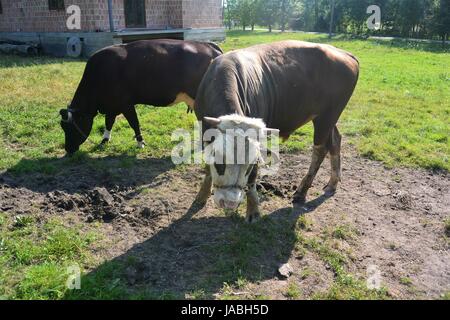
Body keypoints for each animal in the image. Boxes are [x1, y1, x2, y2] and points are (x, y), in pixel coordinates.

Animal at [58, 40, 223, 155]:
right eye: (62, 126)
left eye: (70, 127)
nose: (68, 149)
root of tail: (207, 44)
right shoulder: (112, 105)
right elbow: (109, 122)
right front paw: (104, 140)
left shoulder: (126, 104)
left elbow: (134, 123)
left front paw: (140, 143)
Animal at [193, 39, 358, 222]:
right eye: (219, 161)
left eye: (250, 165)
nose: (229, 203)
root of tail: (345, 54)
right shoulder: (204, 130)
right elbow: (207, 167)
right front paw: (202, 195)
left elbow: (252, 181)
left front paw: (253, 210)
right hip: (327, 119)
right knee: (335, 141)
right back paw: (332, 183)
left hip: (327, 117)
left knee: (321, 149)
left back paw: (302, 191)